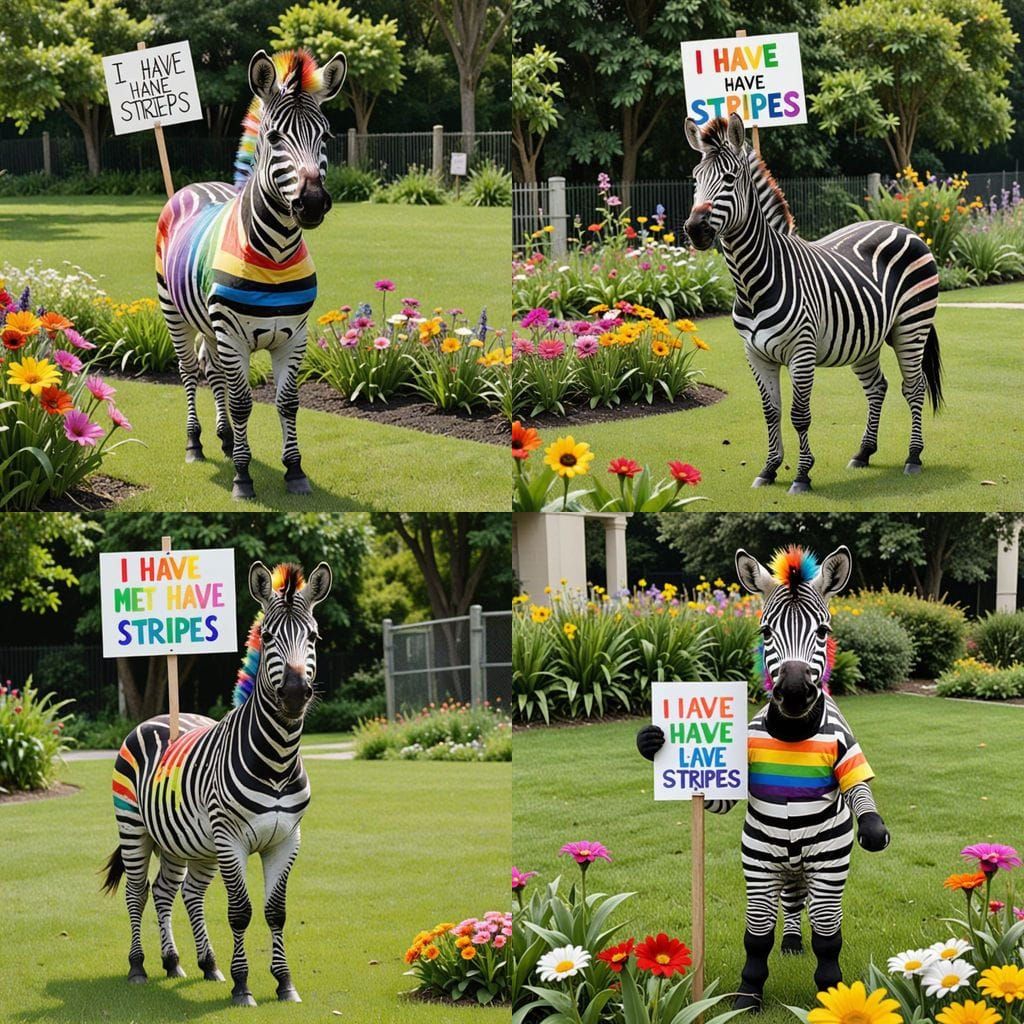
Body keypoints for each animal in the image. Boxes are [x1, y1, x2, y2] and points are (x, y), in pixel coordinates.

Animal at [102, 560, 332, 1006]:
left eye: (313, 636)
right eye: (269, 636)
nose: (296, 693)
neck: (277, 760)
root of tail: (160, 717)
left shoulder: (286, 839)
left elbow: (276, 912)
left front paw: (284, 983)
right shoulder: (232, 839)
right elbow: (240, 911)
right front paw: (244, 986)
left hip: (187, 842)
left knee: (175, 892)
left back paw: (188, 963)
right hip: (135, 828)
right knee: (138, 891)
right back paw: (138, 966)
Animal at [155, 49, 346, 500]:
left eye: (326, 137)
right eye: (274, 138)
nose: (313, 202)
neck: (275, 253)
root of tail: (194, 186)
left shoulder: (294, 336)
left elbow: (287, 402)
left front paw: (294, 470)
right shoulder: (233, 334)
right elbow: (244, 403)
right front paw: (243, 477)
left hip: (209, 325)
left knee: (212, 371)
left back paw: (225, 439)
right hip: (176, 314)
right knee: (190, 372)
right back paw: (196, 443)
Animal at [637, 545, 890, 1010]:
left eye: (823, 630)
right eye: (765, 630)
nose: (793, 692)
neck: (791, 731)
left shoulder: (831, 859)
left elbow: (828, 940)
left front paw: (830, 992)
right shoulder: (756, 867)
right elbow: (755, 937)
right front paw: (748, 994)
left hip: (823, 864)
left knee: (810, 911)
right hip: (774, 862)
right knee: (789, 904)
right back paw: (789, 942)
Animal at [682, 113, 943, 495]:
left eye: (729, 179)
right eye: (696, 180)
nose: (694, 229)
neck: (752, 282)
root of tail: (901, 226)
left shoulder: (801, 351)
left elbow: (799, 415)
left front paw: (802, 475)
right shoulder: (755, 354)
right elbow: (771, 412)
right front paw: (769, 469)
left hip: (911, 327)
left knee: (914, 388)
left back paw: (913, 457)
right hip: (866, 339)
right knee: (877, 387)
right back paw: (864, 452)